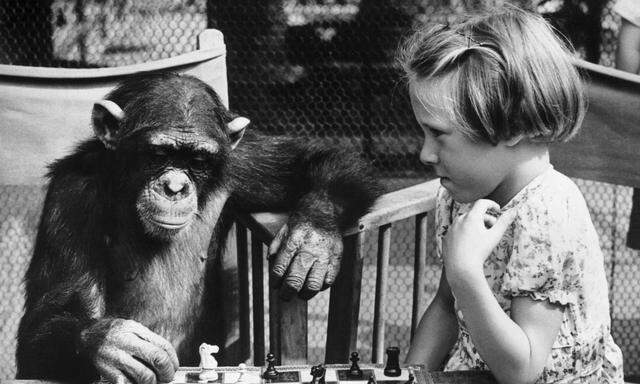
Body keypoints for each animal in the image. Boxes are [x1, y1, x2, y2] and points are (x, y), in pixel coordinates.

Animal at [17, 73, 382, 384]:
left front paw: (311, 238)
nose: (175, 187)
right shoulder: (71, 197)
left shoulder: (243, 160)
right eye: (158, 153)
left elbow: (318, 158)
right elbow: (50, 315)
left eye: (198, 161)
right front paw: (113, 343)